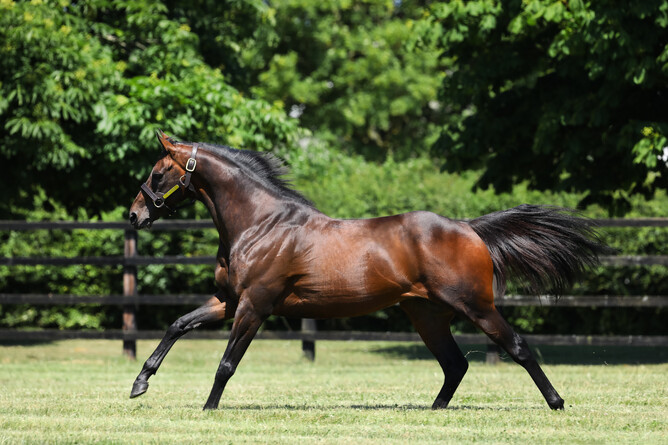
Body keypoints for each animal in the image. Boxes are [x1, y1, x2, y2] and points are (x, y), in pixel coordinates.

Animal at [128, 130, 611, 411]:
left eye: (157, 173)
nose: (134, 215)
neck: (261, 223)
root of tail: (468, 228)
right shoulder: (228, 301)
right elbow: (178, 324)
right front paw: (140, 383)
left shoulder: (254, 305)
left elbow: (227, 362)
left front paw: (208, 409)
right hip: (426, 314)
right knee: (455, 364)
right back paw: (434, 412)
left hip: (475, 306)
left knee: (517, 348)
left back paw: (557, 402)